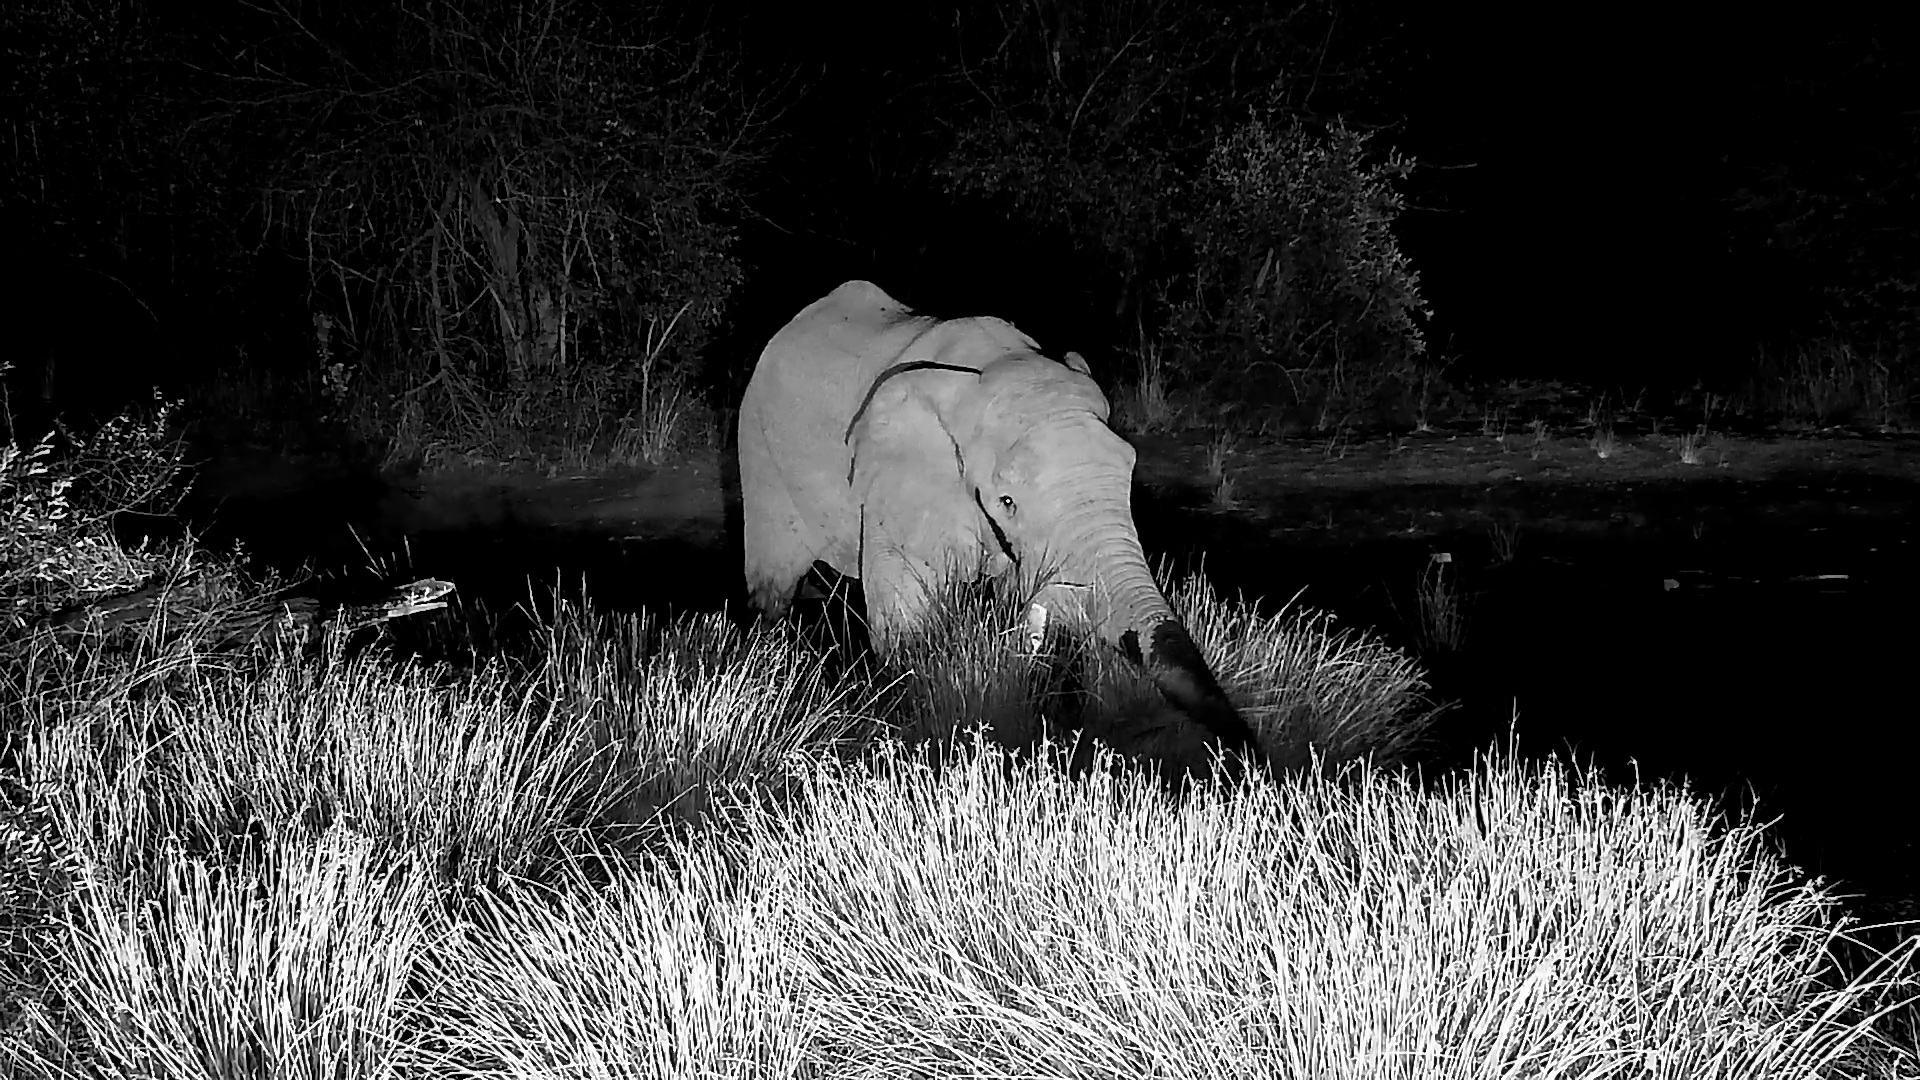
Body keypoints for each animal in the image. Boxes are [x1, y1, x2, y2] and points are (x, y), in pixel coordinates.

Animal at [737, 280, 1260, 756]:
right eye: (1007, 501)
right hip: (759, 453)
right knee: (774, 585)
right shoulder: (894, 485)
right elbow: (905, 628)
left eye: (1128, 473)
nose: (1250, 753)